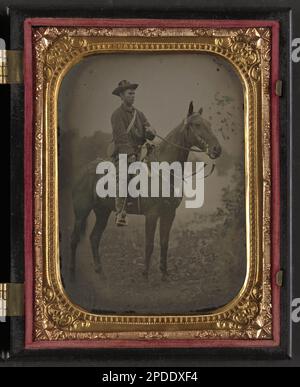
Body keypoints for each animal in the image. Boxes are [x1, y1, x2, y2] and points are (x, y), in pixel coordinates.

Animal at [69, 101, 220, 280]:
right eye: (197, 124)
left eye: (209, 124)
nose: (217, 149)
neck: (164, 170)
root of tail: (82, 170)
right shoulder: (152, 214)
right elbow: (149, 244)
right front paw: (146, 274)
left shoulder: (169, 213)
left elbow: (164, 242)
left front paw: (164, 273)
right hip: (81, 212)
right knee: (74, 239)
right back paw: (72, 273)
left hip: (102, 212)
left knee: (94, 238)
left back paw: (101, 272)